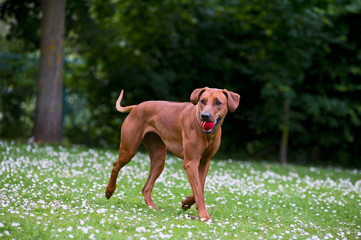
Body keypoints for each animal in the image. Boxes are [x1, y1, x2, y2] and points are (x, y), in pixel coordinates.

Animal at [104, 86, 239, 221]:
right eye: (202, 101)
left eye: (218, 102)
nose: (205, 116)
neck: (207, 134)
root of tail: (137, 106)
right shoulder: (191, 163)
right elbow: (198, 191)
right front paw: (204, 215)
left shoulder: (205, 162)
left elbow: (200, 188)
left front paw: (187, 202)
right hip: (129, 150)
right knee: (115, 165)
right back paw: (109, 190)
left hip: (158, 160)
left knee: (146, 187)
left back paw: (153, 207)